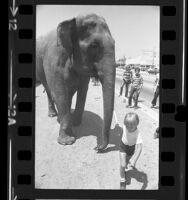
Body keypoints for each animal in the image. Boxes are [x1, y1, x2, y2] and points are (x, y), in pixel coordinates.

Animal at [36, 13, 116, 152]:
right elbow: (59, 93)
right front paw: (67, 142)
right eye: (94, 45)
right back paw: (53, 115)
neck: (73, 20)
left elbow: (83, 90)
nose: (96, 148)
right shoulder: (53, 60)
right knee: (49, 90)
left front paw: (76, 123)